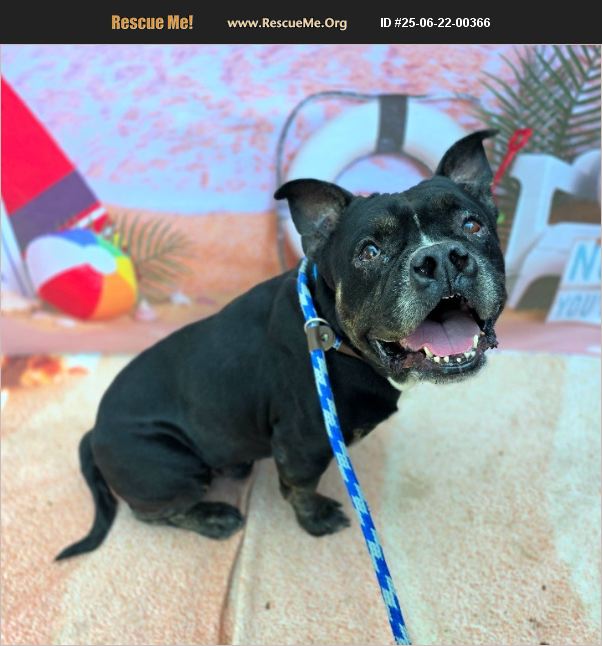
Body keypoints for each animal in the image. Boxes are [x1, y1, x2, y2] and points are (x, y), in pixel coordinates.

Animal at [56, 129, 506, 560]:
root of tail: (94, 432)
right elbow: (299, 487)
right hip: (173, 468)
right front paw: (316, 519)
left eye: (473, 226)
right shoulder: (302, 443)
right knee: (152, 511)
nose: (441, 257)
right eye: (369, 251)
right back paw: (214, 517)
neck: (332, 335)